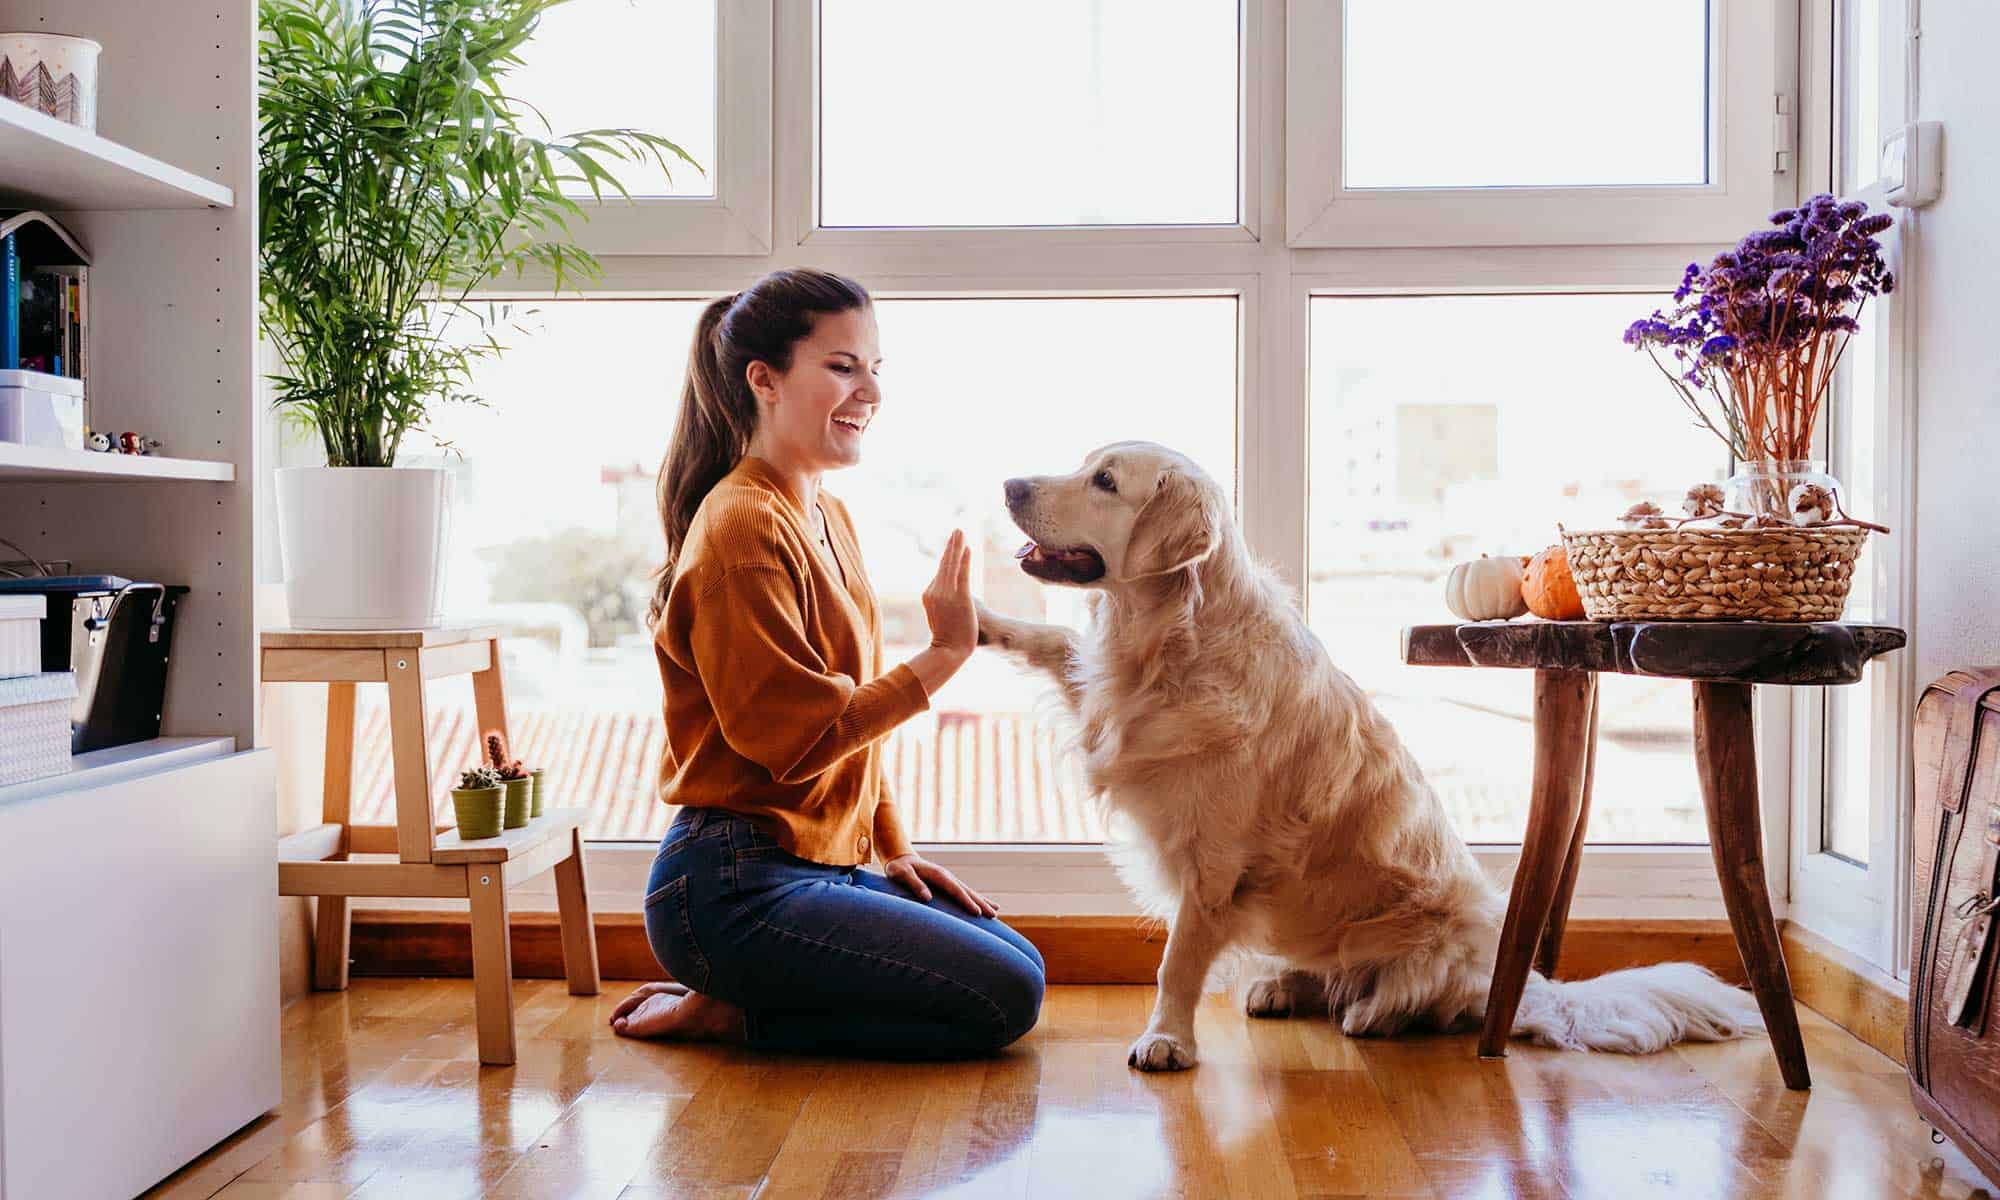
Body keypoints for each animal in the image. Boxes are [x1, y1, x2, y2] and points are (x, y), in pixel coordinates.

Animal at [976, 438, 1760, 1072]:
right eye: (1084, 465)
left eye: (1105, 481)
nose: (1008, 485)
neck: (1168, 640)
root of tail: (1520, 984)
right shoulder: (1105, 700)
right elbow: (1053, 643)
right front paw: (978, 619)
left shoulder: (1214, 864)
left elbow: (1177, 963)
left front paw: (1166, 1040)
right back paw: (1282, 986)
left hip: (1440, 932)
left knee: (1418, 999)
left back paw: (1372, 1013)